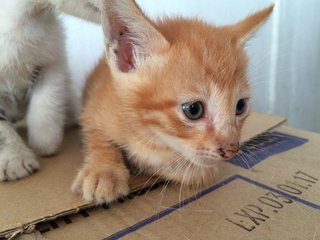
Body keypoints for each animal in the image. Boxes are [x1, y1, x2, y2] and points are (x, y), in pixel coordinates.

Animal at [72, 0, 272, 203]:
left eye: (240, 106)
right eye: (193, 109)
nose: (232, 149)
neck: (150, 134)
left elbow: (196, 172)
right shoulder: (92, 108)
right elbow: (98, 138)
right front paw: (103, 172)